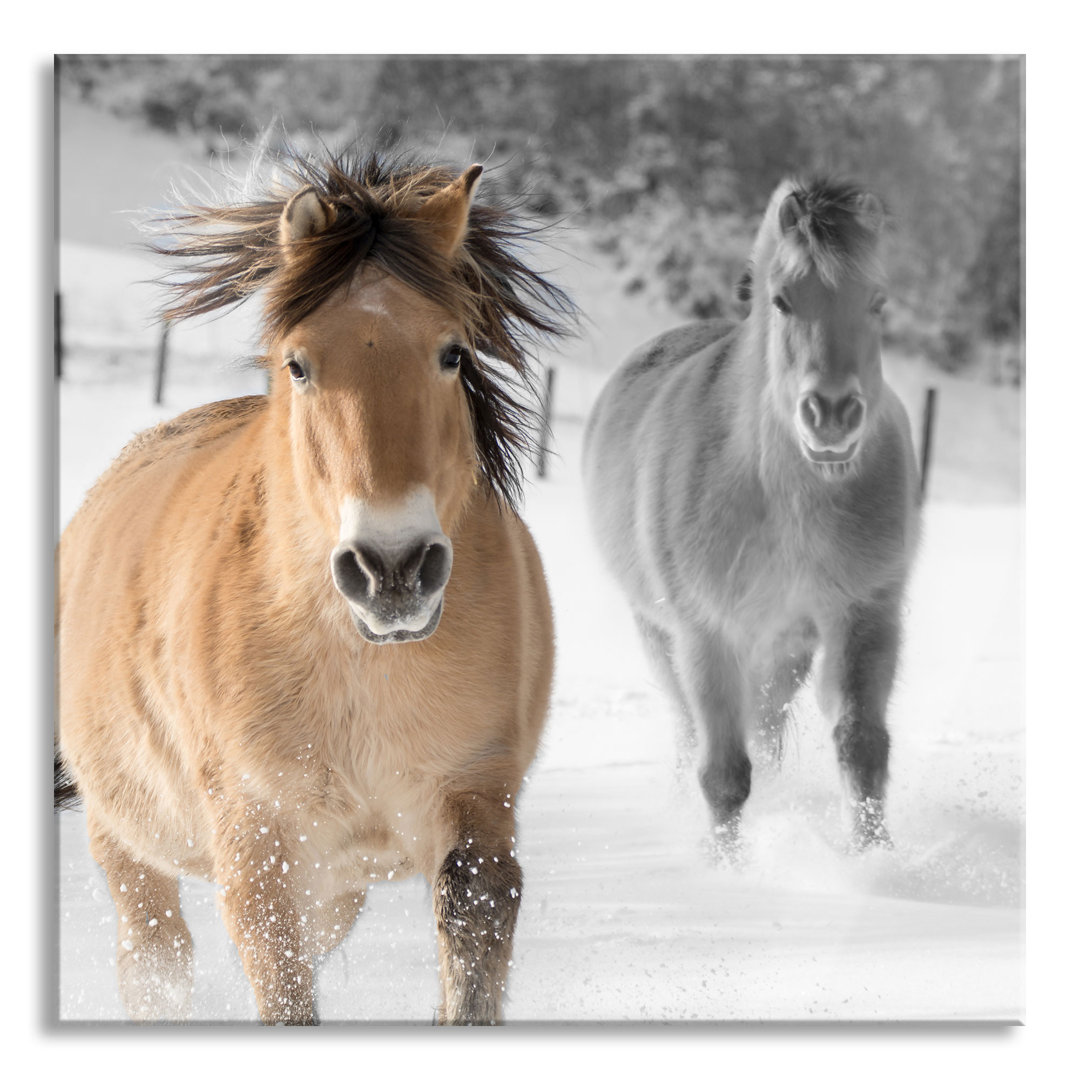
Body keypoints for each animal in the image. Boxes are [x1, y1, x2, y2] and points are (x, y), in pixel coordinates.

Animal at [52, 147, 574, 1023]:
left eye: (453, 353)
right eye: (299, 363)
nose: (392, 568)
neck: (358, 666)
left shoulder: (475, 799)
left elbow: (470, 945)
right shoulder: (258, 849)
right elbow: (283, 990)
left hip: (337, 886)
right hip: (126, 839)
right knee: (156, 959)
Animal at [583, 174, 920, 851]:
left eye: (877, 300)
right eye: (783, 300)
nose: (832, 414)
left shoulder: (864, 614)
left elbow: (862, 745)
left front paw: (875, 859)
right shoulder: (708, 634)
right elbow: (723, 775)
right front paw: (725, 866)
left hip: (783, 647)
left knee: (765, 732)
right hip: (660, 633)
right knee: (692, 732)